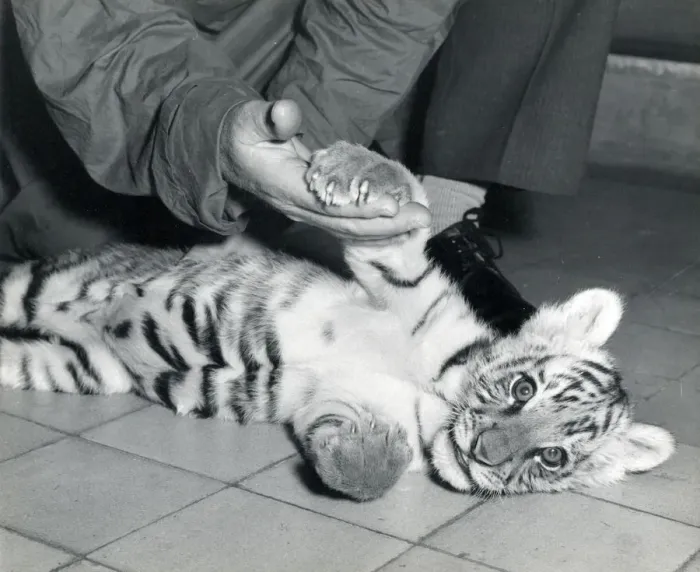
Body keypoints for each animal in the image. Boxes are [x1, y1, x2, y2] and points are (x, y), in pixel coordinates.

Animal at [0, 141, 674, 501]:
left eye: (554, 457)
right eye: (523, 387)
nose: (484, 451)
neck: (434, 396)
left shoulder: (331, 396)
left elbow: (359, 454)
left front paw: (371, 452)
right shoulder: (404, 288)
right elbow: (402, 226)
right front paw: (356, 171)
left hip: (79, 367)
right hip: (35, 287)